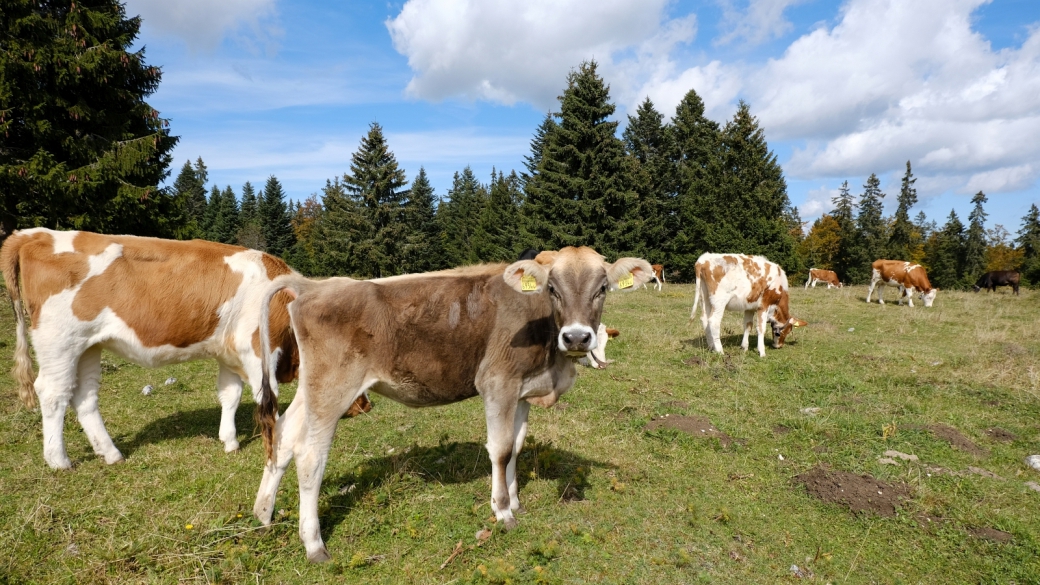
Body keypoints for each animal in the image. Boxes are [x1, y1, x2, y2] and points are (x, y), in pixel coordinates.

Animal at [0, 227, 374, 468]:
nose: (367, 405)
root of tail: (31, 234)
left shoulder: (229, 351)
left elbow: (230, 395)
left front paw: (229, 440)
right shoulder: (256, 348)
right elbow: (266, 396)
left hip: (88, 346)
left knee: (84, 398)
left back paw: (111, 453)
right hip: (59, 341)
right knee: (52, 393)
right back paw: (59, 460)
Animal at [250, 245, 648, 562]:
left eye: (602, 288)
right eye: (552, 288)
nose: (577, 337)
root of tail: (315, 285)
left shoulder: (522, 389)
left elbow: (517, 445)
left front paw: (516, 500)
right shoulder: (497, 383)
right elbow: (500, 449)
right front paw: (503, 512)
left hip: (311, 388)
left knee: (283, 438)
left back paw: (264, 514)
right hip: (333, 388)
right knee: (310, 457)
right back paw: (314, 544)